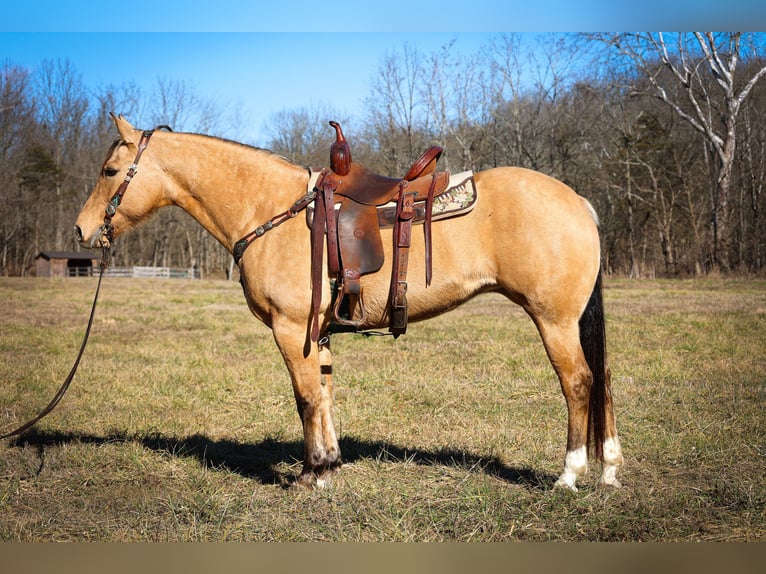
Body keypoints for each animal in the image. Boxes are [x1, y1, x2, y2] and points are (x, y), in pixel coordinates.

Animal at [73, 115, 624, 492]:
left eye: (110, 169)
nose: (81, 230)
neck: (271, 209)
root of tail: (579, 202)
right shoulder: (317, 333)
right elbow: (325, 395)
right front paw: (329, 465)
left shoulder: (291, 329)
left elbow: (305, 399)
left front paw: (313, 474)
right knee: (602, 380)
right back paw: (610, 469)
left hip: (554, 320)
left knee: (579, 382)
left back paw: (570, 474)